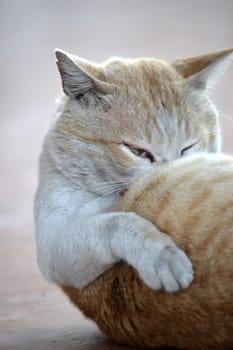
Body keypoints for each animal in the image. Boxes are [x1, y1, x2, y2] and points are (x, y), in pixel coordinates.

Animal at [35, 45, 233, 298]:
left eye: (187, 148)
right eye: (138, 151)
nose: (170, 179)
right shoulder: (53, 242)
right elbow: (119, 222)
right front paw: (162, 256)